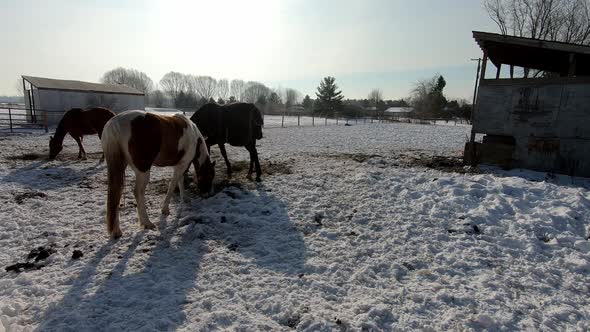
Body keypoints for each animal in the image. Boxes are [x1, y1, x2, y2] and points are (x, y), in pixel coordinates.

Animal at [103, 111, 216, 239]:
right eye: (210, 176)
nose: (210, 194)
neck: (195, 138)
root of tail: (115, 122)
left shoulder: (180, 165)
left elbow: (180, 181)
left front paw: (184, 198)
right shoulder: (182, 164)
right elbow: (173, 185)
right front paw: (165, 209)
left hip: (119, 166)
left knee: (116, 193)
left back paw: (116, 231)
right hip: (143, 171)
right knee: (137, 192)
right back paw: (147, 223)